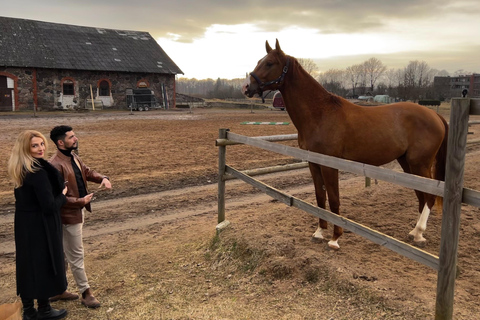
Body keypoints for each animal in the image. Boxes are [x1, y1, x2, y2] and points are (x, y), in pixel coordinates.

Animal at [242, 39, 448, 250]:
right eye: (259, 61)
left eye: (269, 63)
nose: (246, 87)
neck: (320, 113)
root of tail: (435, 115)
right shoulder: (313, 163)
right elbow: (320, 197)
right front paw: (319, 232)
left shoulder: (329, 165)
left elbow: (334, 200)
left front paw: (335, 238)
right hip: (407, 163)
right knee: (422, 196)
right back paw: (415, 233)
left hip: (420, 163)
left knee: (429, 197)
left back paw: (419, 232)